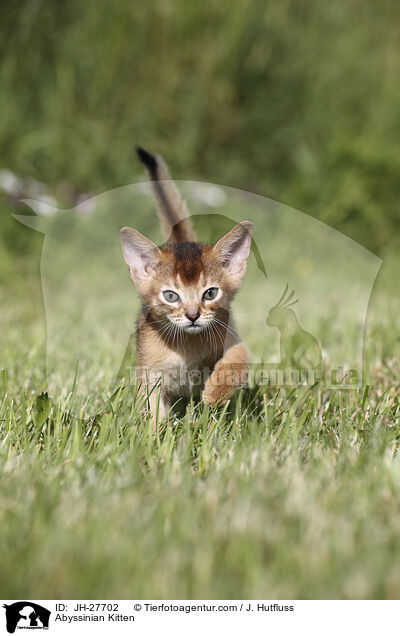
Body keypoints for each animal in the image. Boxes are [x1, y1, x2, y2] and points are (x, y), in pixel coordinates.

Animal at [119, 149, 253, 424]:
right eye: (171, 296)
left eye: (210, 293)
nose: (193, 316)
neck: (187, 348)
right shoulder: (150, 376)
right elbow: (152, 413)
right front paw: (156, 433)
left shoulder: (232, 337)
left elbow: (239, 358)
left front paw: (216, 392)